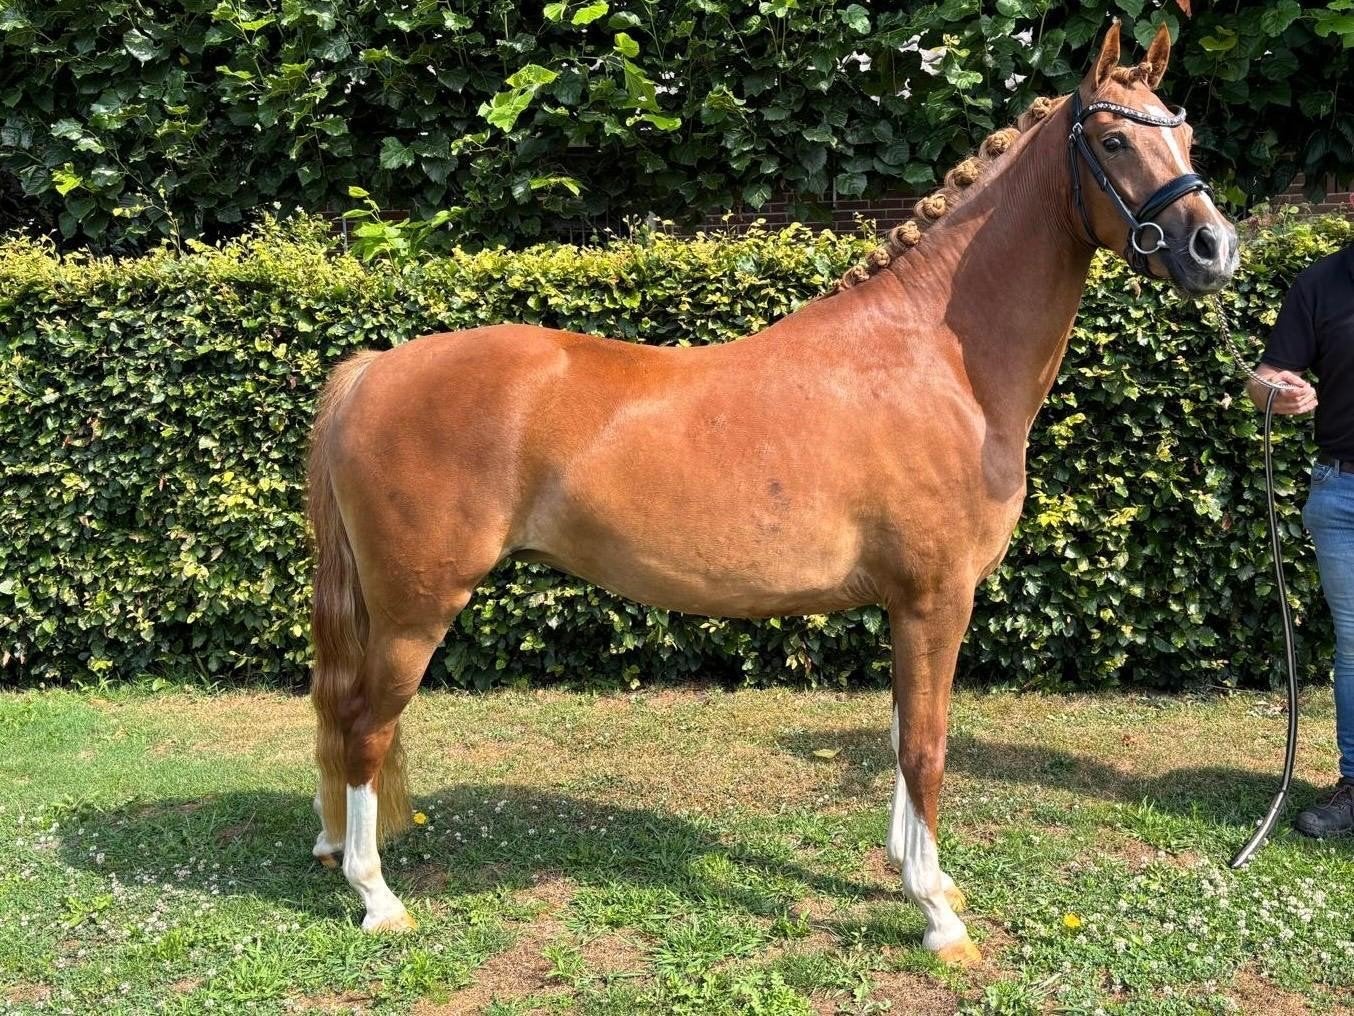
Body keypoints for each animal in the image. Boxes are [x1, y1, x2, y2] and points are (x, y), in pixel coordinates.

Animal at [305, 22, 1238, 965]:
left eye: (1189, 136)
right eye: (1114, 141)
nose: (1214, 248)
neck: (937, 356)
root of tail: (373, 369)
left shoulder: (905, 603)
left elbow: (899, 734)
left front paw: (919, 875)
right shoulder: (938, 597)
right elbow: (927, 746)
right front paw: (938, 916)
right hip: (417, 608)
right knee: (363, 722)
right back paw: (376, 896)